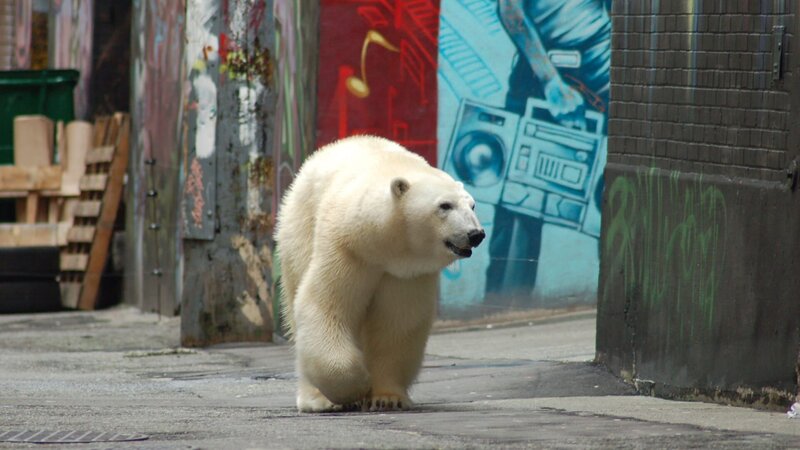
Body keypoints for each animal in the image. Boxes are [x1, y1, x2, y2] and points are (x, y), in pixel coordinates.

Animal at [274, 135, 485, 413]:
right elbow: (325, 305)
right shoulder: (347, 248)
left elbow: (396, 326)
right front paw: (356, 386)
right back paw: (317, 399)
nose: (476, 234)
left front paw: (386, 397)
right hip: (299, 228)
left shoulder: (406, 272)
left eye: (472, 205)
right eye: (444, 205)